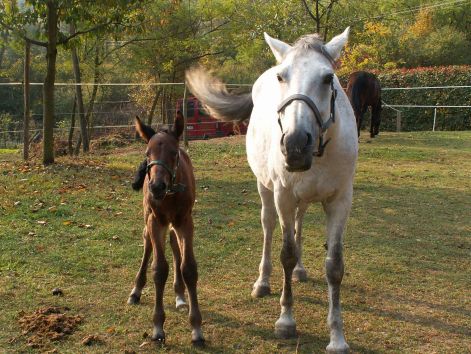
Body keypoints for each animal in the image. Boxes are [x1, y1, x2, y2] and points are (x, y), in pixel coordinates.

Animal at [127, 112, 205, 346]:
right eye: (147, 153)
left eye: (174, 152)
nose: (156, 187)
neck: (170, 195)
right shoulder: (156, 220)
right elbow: (159, 269)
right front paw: (158, 328)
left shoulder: (185, 221)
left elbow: (189, 268)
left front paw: (196, 329)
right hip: (149, 218)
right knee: (147, 243)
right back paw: (136, 291)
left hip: (174, 224)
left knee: (174, 244)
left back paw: (180, 296)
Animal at [187, 27, 358, 352]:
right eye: (282, 76)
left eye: (328, 78)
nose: (295, 144)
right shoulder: (284, 196)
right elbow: (286, 254)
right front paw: (286, 321)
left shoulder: (340, 201)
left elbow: (334, 266)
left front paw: (337, 336)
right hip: (266, 190)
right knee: (268, 228)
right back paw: (263, 282)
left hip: (303, 200)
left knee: (299, 225)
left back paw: (301, 271)